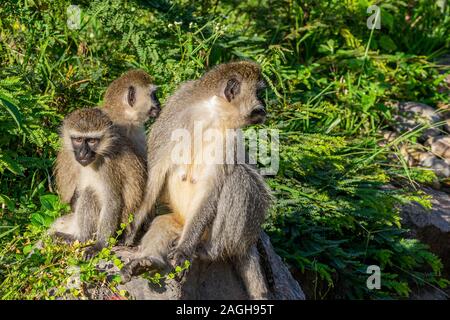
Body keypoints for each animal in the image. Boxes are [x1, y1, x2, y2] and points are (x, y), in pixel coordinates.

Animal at [51, 109, 147, 258]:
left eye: (92, 141)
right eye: (78, 139)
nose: (83, 153)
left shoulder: (108, 167)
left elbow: (112, 202)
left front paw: (99, 245)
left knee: (89, 193)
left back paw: (80, 238)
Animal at [121, 61, 272, 298]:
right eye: (258, 92)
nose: (264, 106)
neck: (211, 113)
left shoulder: (228, 138)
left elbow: (212, 188)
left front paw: (183, 252)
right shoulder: (174, 112)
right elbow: (156, 174)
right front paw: (133, 228)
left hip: (228, 231)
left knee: (238, 180)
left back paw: (208, 251)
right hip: (177, 221)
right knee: (162, 225)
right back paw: (149, 261)